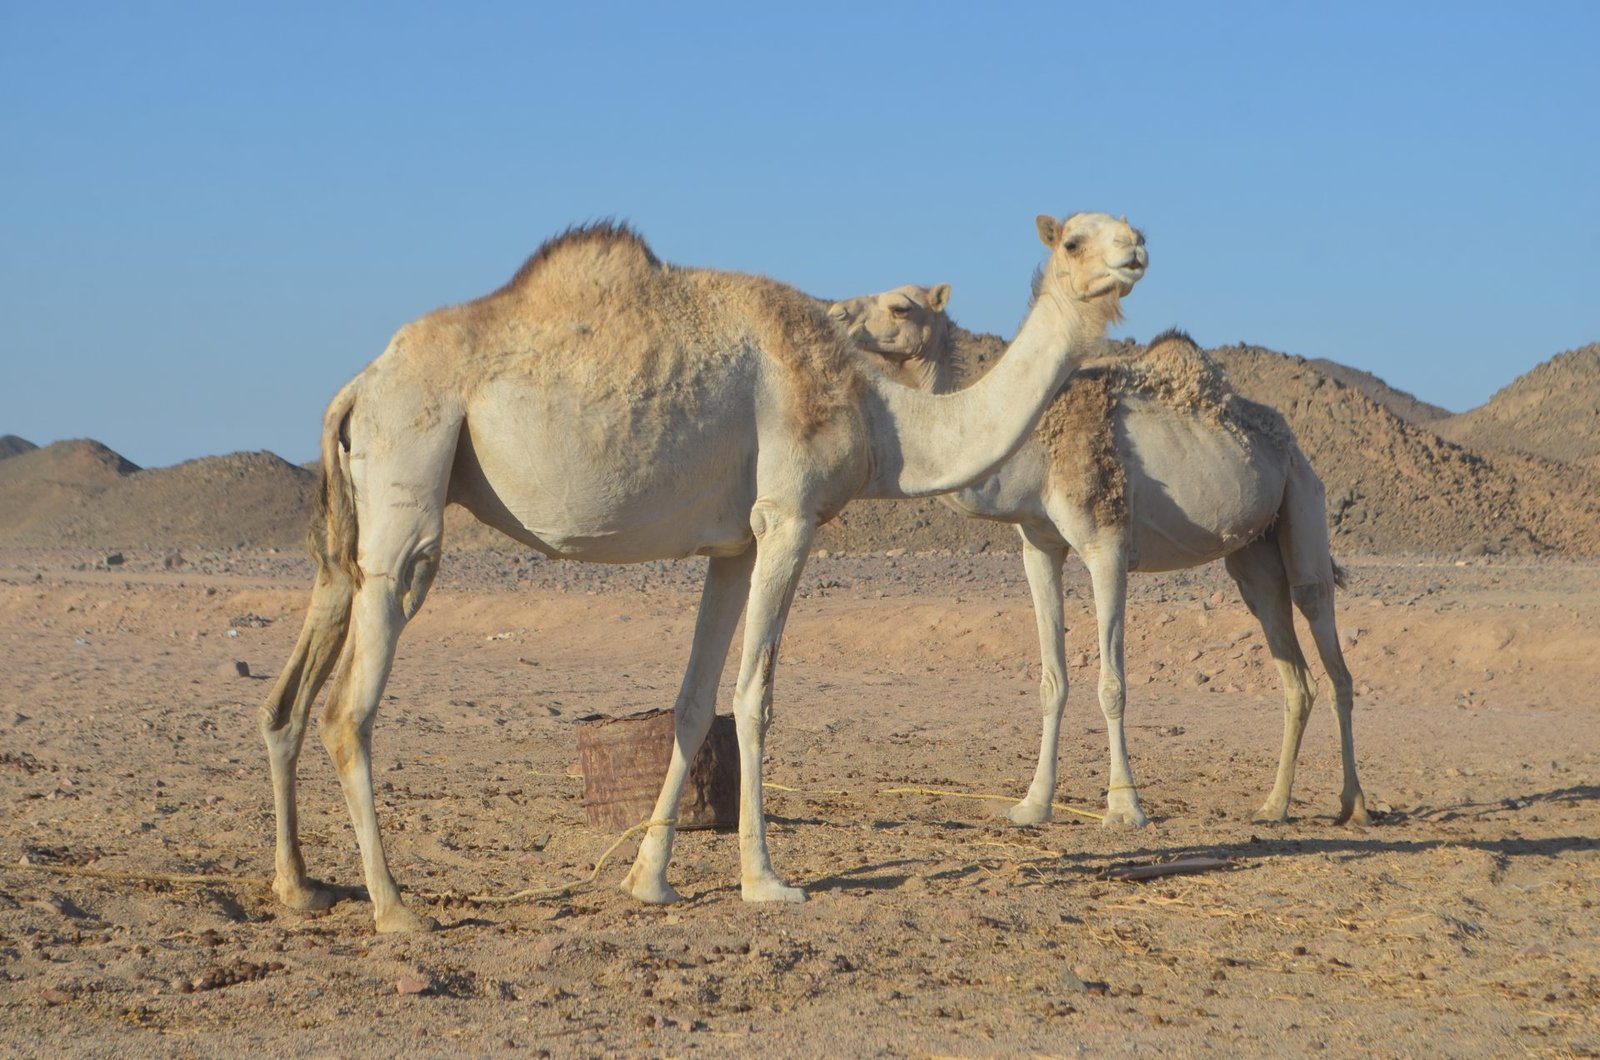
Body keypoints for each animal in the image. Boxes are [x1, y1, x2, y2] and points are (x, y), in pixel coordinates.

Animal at [256, 209, 1145, 928]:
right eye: (1075, 239)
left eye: (1126, 224)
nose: (1135, 250)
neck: (879, 415)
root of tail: (358, 386)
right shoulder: (788, 517)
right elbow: (755, 698)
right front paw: (766, 882)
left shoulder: (734, 546)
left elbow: (691, 705)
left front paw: (649, 881)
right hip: (412, 472)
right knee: (348, 707)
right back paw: (396, 908)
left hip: (356, 519)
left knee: (288, 695)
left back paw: (301, 888)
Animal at [832, 286, 1369, 832]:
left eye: (901, 306)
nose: (835, 314)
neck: (1034, 454)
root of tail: (1292, 444)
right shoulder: (1039, 546)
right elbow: (1052, 681)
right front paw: (1033, 804)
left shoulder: (1106, 546)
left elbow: (1113, 685)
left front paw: (1125, 807)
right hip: (1253, 554)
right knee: (1293, 671)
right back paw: (1272, 807)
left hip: (1303, 500)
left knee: (1329, 645)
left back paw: (1354, 805)